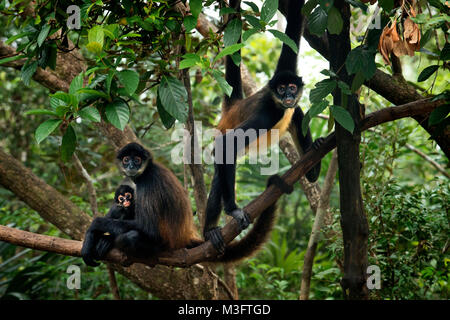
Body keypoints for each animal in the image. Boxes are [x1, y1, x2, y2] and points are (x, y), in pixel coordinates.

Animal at [79, 142, 280, 264]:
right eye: (127, 159)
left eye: (137, 160)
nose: (130, 166)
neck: (147, 170)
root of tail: (183, 236)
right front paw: (93, 237)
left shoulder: (147, 183)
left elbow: (148, 227)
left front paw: (95, 226)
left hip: (164, 243)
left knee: (130, 236)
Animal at [204, 0, 324, 252]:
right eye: (281, 89)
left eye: (291, 87)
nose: (288, 95)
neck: (275, 100)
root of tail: (234, 106)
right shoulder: (269, 112)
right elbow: (228, 145)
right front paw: (233, 210)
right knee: (222, 164)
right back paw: (209, 231)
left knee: (297, 113)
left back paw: (312, 168)